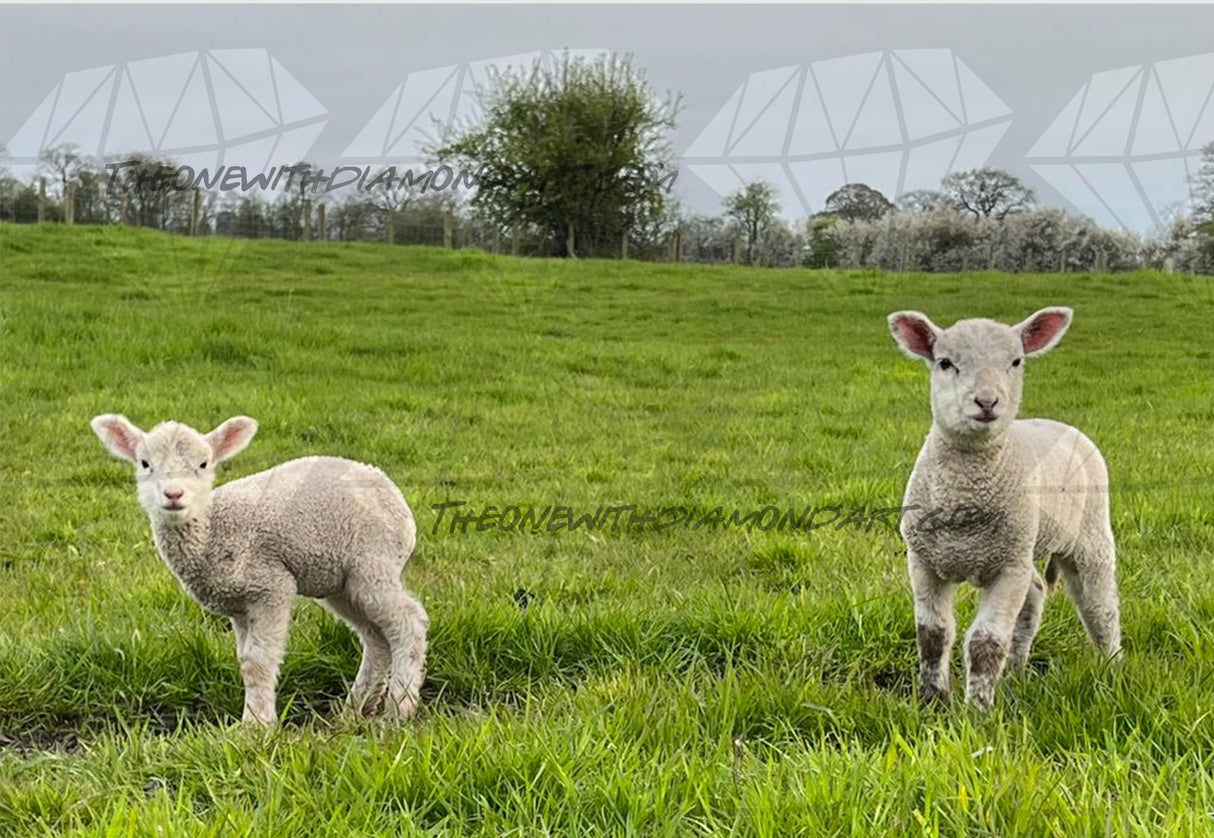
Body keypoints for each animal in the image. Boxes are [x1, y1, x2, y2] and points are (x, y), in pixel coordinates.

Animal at [89, 414, 428, 726]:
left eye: (203, 464)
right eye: (145, 463)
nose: (173, 495)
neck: (212, 529)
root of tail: (390, 489)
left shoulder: (270, 585)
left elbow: (258, 661)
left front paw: (256, 726)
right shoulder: (239, 605)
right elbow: (244, 660)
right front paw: (255, 717)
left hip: (373, 561)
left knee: (409, 623)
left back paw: (399, 709)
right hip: (342, 583)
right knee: (376, 637)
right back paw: (355, 710)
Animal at [887, 307, 1120, 710]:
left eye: (1016, 362)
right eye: (945, 363)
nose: (986, 402)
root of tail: (1057, 422)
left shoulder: (1006, 568)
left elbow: (986, 642)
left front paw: (978, 710)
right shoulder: (924, 561)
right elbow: (932, 635)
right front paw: (932, 701)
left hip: (1087, 535)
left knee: (1100, 606)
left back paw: (1113, 668)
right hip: (1024, 549)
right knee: (1036, 594)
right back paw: (1014, 673)